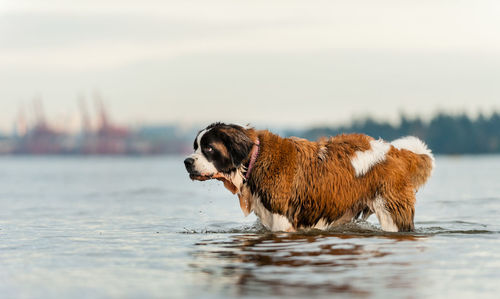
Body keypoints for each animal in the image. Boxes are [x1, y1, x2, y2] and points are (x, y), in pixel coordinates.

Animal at [184, 123, 434, 233]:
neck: (253, 159)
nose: (187, 162)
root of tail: (396, 151)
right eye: (195, 147)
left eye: (208, 148)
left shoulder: (282, 221)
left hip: (392, 212)